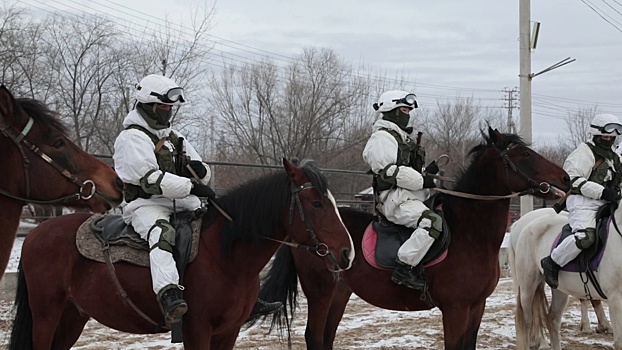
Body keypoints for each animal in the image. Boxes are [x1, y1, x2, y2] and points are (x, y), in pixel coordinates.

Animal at [8, 159, 356, 350]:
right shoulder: (196, 330)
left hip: (72, 315)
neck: (225, 256)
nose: (346, 253)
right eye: (316, 204)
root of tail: (35, 235)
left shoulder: (228, 332)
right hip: (46, 314)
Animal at [256, 128, 572, 350]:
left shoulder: (476, 307)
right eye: (524, 156)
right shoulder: (456, 310)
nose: (566, 179)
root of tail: (299, 227)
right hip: (320, 292)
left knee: (325, 338)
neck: (470, 233)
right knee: (313, 336)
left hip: (339, 293)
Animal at [510, 208, 620, 350]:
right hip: (528, 285)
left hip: (559, 289)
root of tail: (519, 224)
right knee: (527, 320)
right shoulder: (616, 298)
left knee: (552, 320)